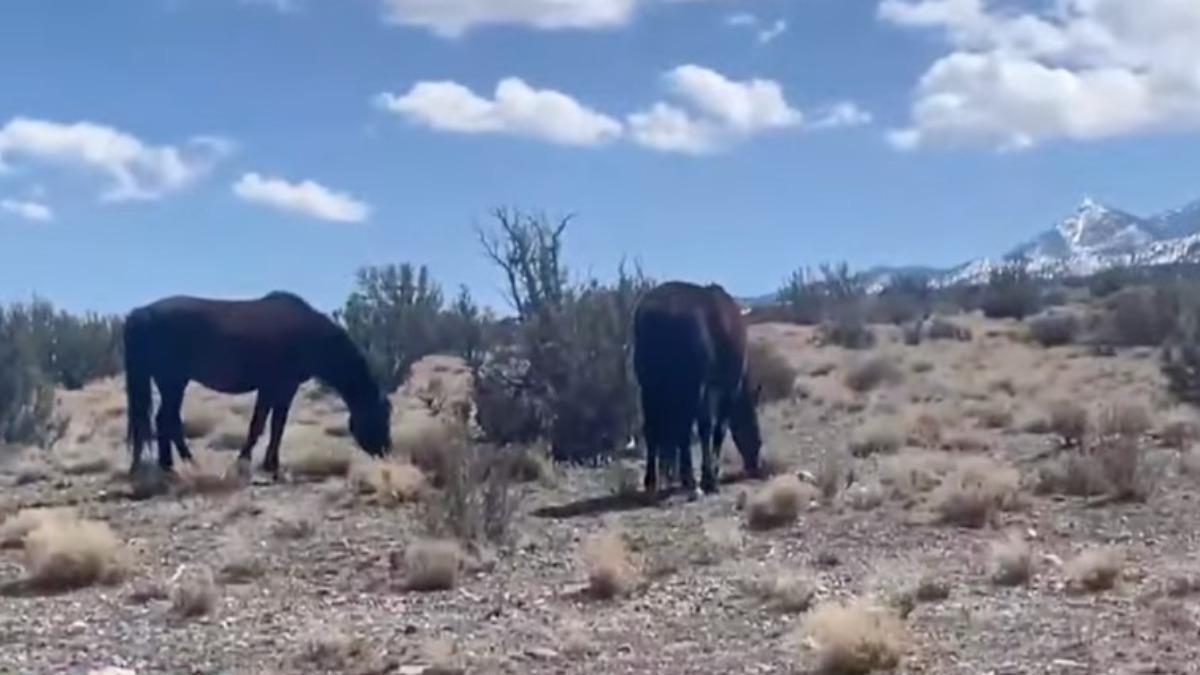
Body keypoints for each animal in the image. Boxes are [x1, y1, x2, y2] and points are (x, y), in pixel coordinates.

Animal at [123, 291, 391, 479]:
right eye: (381, 416)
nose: (385, 452)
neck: (310, 334)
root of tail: (142, 312)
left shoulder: (276, 388)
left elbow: (269, 425)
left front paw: (266, 463)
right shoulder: (281, 386)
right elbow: (266, 425)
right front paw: (254, 464)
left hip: (172, 382)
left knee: (167, 420)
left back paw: (178, 464)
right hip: (173, 381)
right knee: (165, 420)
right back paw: (176, 464)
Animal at [632, 280, 763, 499]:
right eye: (757, 435)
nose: (755, 465)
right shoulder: (725, 389)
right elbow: (714, 429)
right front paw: (710, 477)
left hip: (649, 387)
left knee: (653, 430)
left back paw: (653, 482)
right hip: (690, 388)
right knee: (685, 430)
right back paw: (692, 482)